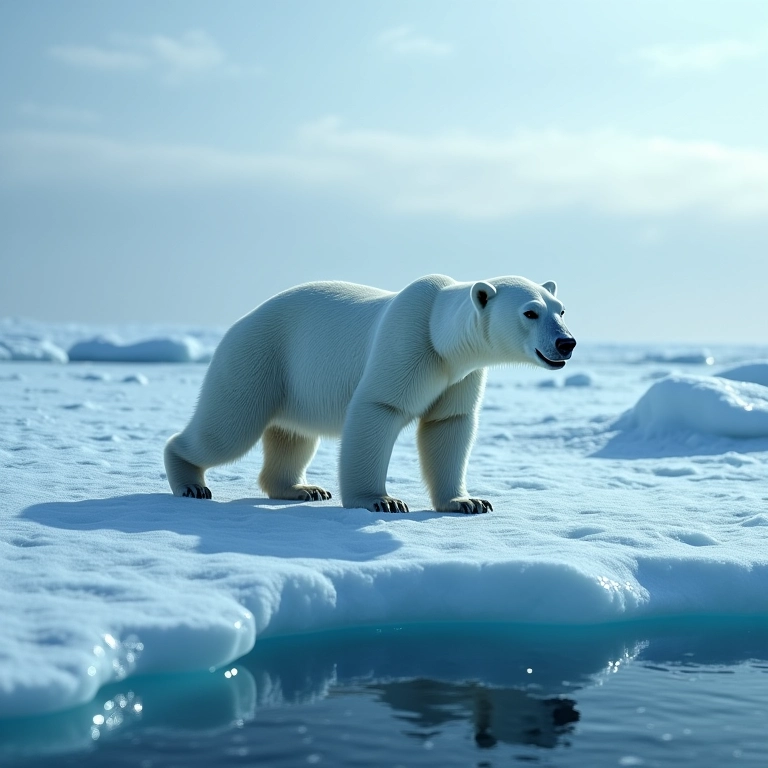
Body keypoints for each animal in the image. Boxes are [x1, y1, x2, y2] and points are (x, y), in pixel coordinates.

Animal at [164, 274, 575, 513]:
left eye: (560, 310)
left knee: (293, 435)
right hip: (258, 356)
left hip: (290, 380)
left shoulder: (459, 375)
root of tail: (239, 322)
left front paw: (468, 501)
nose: (566, 342)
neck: (439, 333)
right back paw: (192, 484)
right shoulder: (406, 347)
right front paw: (382, 500)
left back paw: (304, 489)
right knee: (227, 428)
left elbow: (448, 425)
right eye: (530, 313)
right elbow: (378, 409)